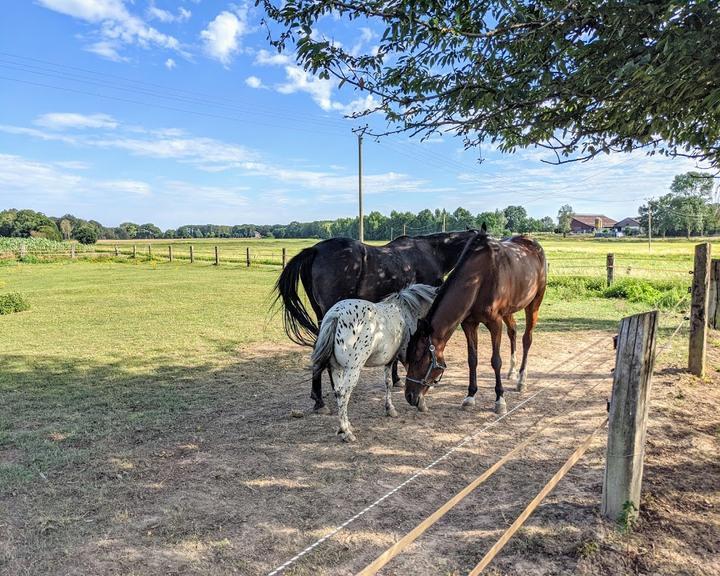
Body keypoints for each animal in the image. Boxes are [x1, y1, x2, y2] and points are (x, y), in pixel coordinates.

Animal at [308, 284, 434, 440]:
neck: (406, 312)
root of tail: (336, 315)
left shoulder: (389, 361)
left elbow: (388, 383)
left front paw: (390, 409)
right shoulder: (406, 358)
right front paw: (421, 403)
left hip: (337, 367)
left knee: (338, 392)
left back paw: (346, 426)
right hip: (352, 369)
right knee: (343, 393)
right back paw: (346, 432)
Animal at [404, 227, 544, 416]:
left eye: (419, 358)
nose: (409, 396)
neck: (478, 277)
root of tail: (532, 243)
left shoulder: (495, 323)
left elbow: (495, 361)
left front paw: (500, 400)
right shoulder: (469, 324)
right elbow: (472, 359)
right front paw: (470, 396)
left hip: (534, 303)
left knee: (527, 339)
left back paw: (521, 380)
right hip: (509, 310)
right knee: (513, 331)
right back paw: (512, 372)